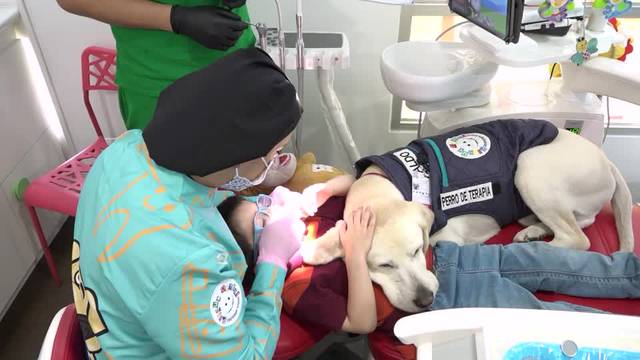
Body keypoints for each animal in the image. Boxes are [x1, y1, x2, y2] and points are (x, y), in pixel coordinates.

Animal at [304, 123, 636, 312]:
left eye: (417, 251)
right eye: (384, 265)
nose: (425, 300)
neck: (387, 184)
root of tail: (607, 160)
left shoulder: (447, 232)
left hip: (529, 165)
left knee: (577, 237)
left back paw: (531, 243)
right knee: (583, 221)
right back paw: (533, 227)